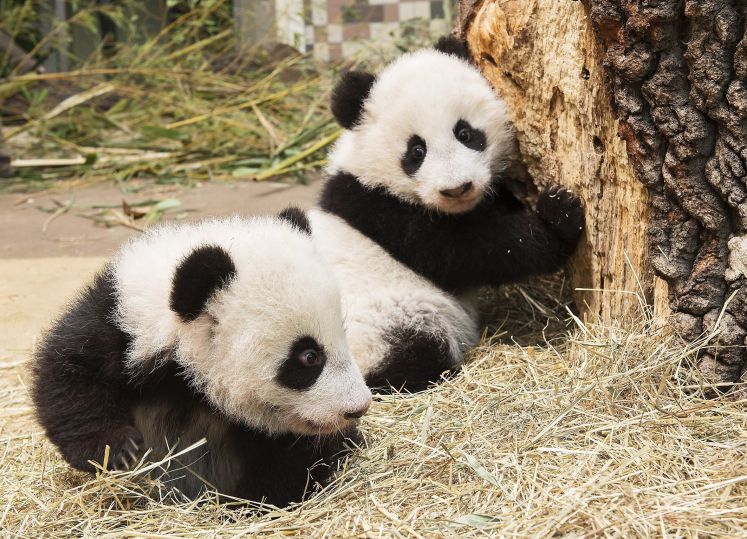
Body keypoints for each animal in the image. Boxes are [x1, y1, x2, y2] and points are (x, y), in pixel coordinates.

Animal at [31, 208, 372, 507]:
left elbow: (292, 461)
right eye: (309, 356)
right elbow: (68, 371)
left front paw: (256, 497)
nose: (357, 408)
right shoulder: (123, 325)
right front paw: (117, 450)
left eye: (343, 333)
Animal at [307, 36, 585, 392]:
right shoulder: (382, 209)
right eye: (416, 151)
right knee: (416, 348)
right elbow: (472, 252)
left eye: (465, 133)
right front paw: (559, 216)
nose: (458, 188)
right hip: (382, 323)